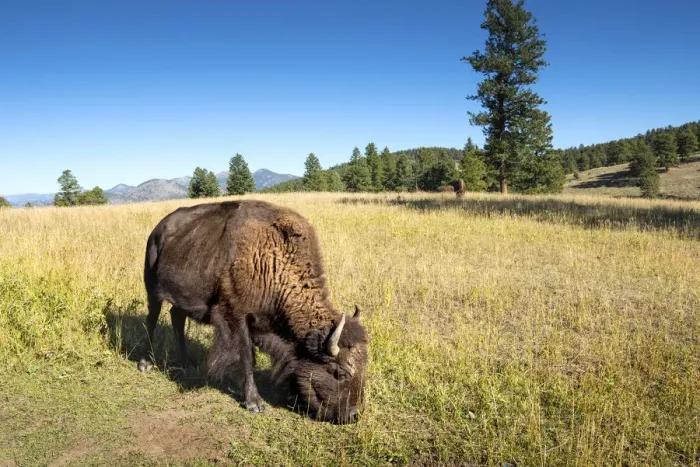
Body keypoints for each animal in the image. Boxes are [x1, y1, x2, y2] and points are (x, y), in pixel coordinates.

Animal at [139, 200, 369, 424]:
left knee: (176, 319)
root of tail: (158, 229)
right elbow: (247, 358)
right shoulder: (236, 317)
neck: (272, 259)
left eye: (363, 368)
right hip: (153, 289)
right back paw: (146, 363)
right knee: (151, 320)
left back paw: (186, 362)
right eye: (339, 372)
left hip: (182, 297)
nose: (353, 415)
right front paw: (254, 403)